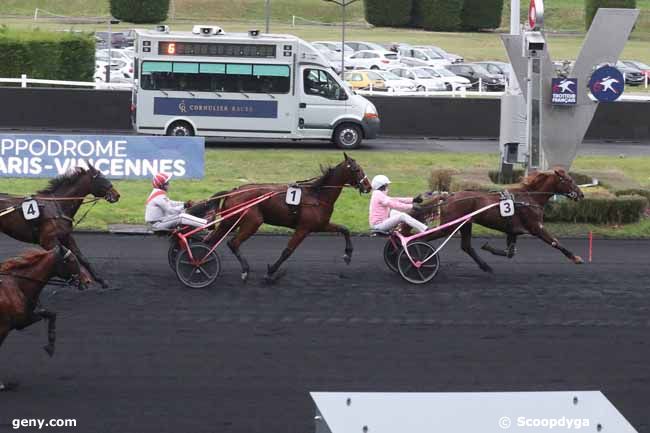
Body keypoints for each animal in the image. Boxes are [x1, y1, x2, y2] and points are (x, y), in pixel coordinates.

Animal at [0, 245, 86, 390]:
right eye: (71, 260)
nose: (85, 281)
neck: (17, 285)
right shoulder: (4, 328)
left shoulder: (23, 320)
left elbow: (51, 315)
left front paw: (50, 346)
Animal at [202, 154, 370, 282]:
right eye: (357, 169)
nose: (368, 186)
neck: (318, 196)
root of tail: (232, 191)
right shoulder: (303, 228)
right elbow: (287, 251)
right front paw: (271, 272)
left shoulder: (320, 225)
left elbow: (344, 229)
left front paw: (348, 254)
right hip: (252, 221)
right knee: (233, 243)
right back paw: (244, 270)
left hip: (228, 221)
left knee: (210, 241)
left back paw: (202, 264)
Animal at [412, 168, 584, 272]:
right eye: (569, 180)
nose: (581, 194)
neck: (530, 198)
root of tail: (449, 196)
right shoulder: (536, 227)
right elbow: (555, 242)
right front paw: (576, 257)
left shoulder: (513, 230)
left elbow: (510, 252)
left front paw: (488, 247)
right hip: (449, 225)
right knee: (423, 237)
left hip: (465, 224)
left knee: (466, 246)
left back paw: (485, 266)